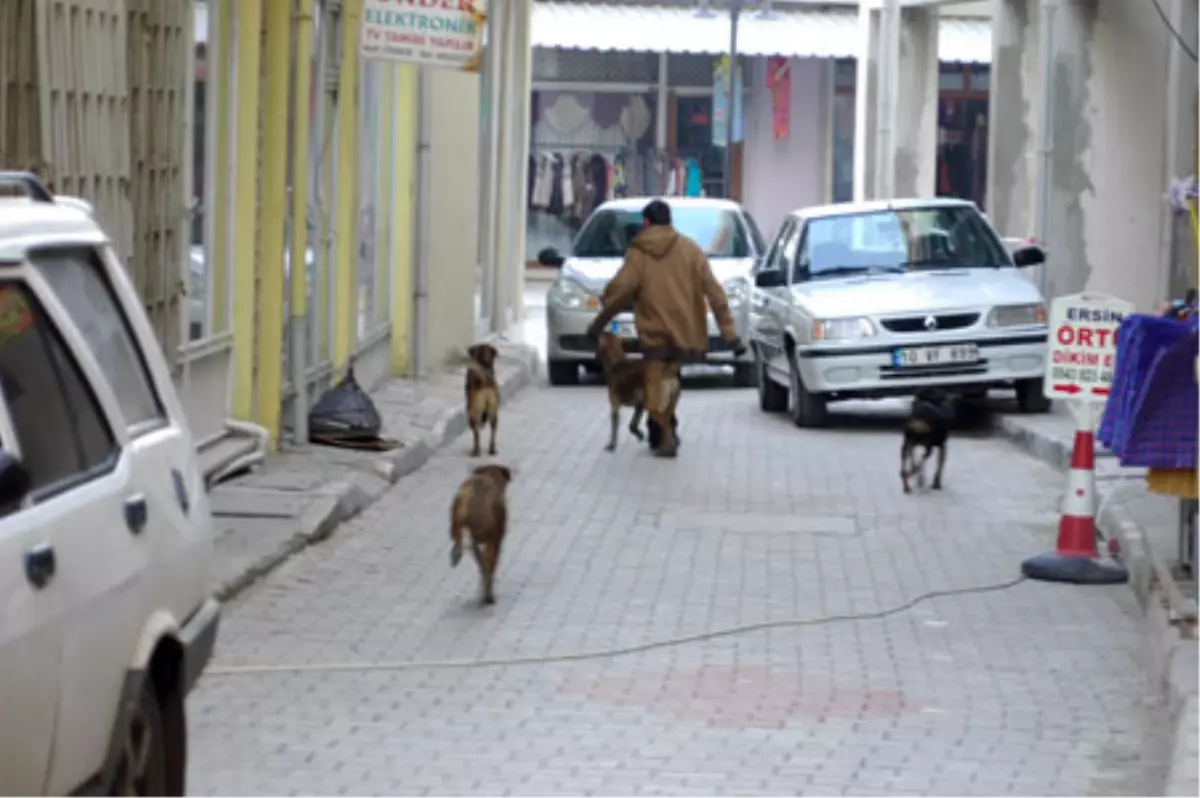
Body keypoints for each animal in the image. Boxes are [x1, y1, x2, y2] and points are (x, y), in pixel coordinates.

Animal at [446, 460, 511, 604]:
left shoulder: (477, 545)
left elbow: (482, 564)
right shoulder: (496, 540)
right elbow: (489, 566)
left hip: (456, 524)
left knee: (458, 540)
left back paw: (456, 554)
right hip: (491, 538)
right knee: (488, 565)